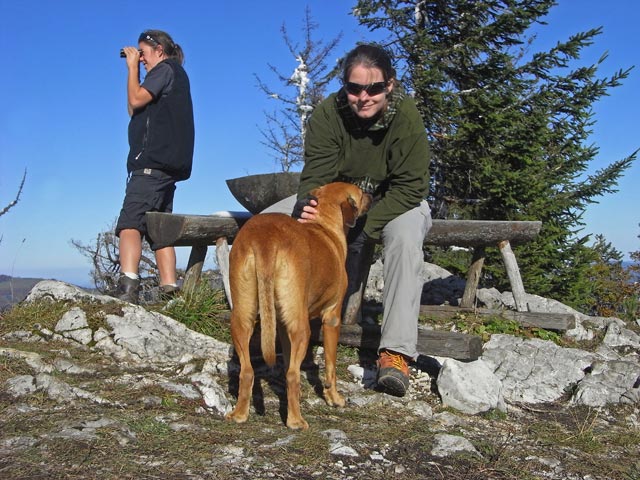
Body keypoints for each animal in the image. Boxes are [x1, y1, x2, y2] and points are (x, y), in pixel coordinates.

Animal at [226, 182, 372, 430]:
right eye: (361, 194)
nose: (371, 195)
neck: (323, 225)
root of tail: (265, 238)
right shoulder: (332, 318)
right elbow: (330, 366)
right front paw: (334, 398)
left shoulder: (282, 325)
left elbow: (286, 362)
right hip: (301, 326)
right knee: (294, 374)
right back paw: (295, 420)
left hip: (242, 317)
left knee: (248, 371)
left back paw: (240, 414)